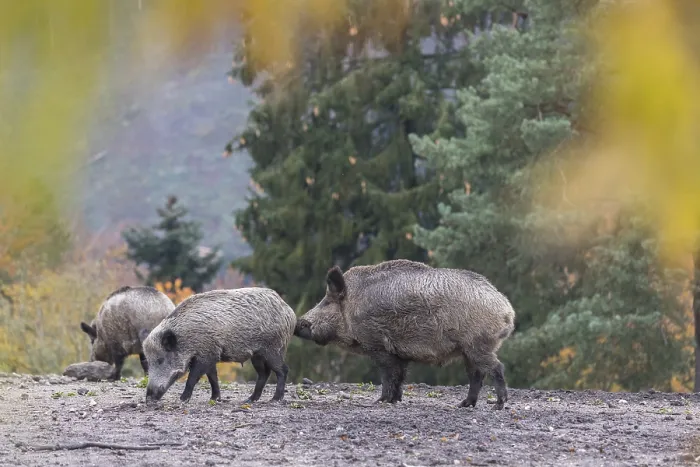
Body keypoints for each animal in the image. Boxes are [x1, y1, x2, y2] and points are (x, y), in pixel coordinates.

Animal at [140, 287, 297, 404]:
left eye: (160, 360)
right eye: (149, 361)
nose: (148, 399)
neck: (187, 338)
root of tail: (289, 312)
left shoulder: (206, 354)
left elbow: (193, 377)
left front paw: (182, 400)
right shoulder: (211, 354)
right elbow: (212, 377)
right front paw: (215, 399)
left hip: (273, 348)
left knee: (283, 370)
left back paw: (275, 399)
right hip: (257, 355)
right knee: (264, 373)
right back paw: (249, 400)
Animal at [294, 259, 516, 410]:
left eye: (327, 302)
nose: (298, 324)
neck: (353, 307)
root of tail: (507, 310)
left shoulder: (378, 346)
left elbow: (388, 375)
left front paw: (380, 401)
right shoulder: (399, 353)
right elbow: (400, 375)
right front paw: (395, 400)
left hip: (478, 344)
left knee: (496, 368)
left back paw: (498, 405)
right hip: (469, 350)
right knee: (476, 374)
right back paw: (464, 404)